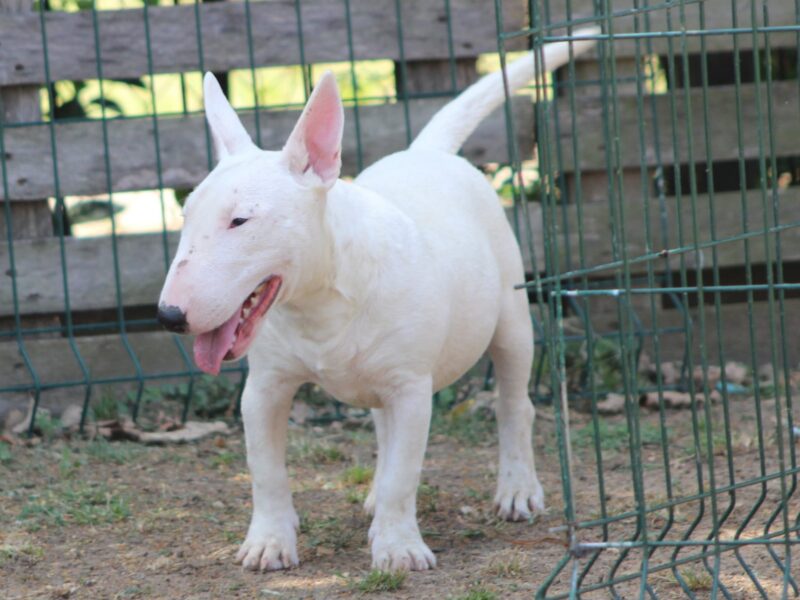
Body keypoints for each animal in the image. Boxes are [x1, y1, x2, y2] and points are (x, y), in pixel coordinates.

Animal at [158, 31, 592, 572]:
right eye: (187, 215)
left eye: (240, 220)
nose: (168, 316)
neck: (321, 302)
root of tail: (426, 151)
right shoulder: (264, 388)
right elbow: (266, 471)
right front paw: (269, 542)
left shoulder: (411, 388)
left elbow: (405, 475)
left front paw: (399, 548)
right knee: (383, 428)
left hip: (510, 321)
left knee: (515, 405)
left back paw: (516, 489)